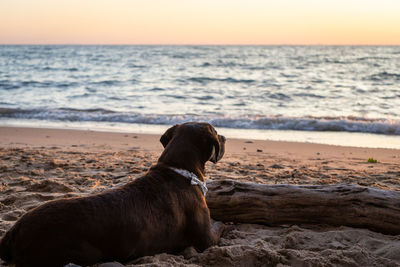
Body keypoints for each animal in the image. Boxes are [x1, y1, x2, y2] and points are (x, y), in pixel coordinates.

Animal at [0, 122, 225, 266]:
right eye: (215, 131)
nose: (224, 137)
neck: (178, 170)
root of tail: (14, 231)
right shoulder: (206, 240)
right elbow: (219, 226)